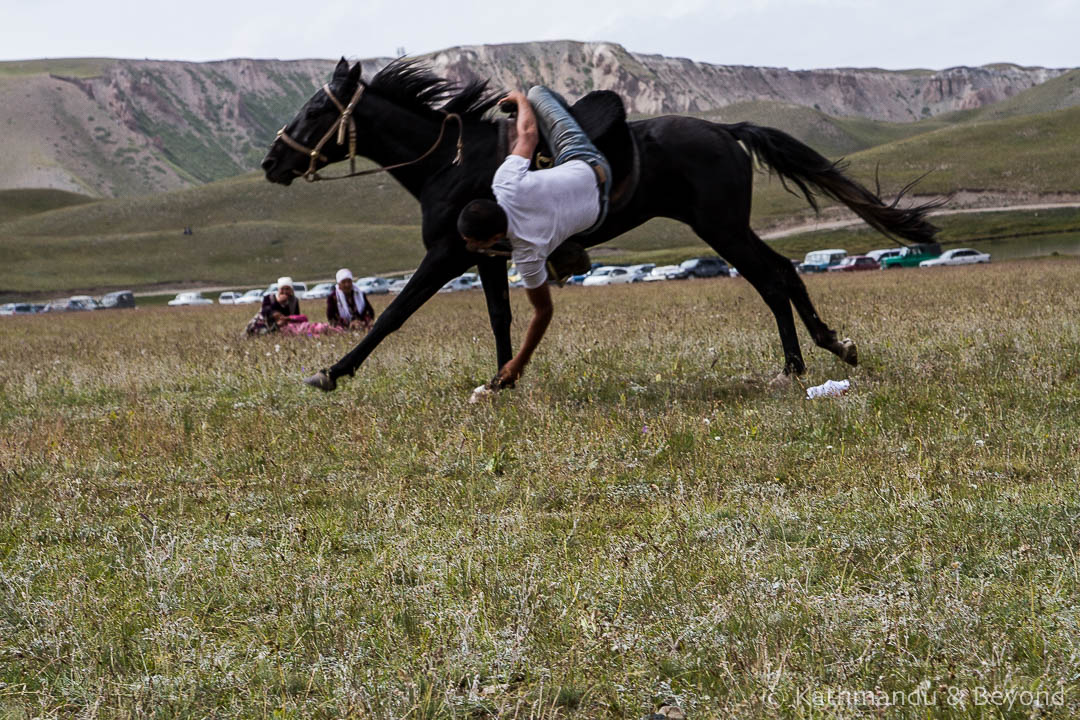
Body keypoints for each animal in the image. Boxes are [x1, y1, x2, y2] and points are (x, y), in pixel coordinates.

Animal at [259, 60, 937, 388]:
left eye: (317, 110)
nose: (270, 162)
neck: (450, 162)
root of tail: (726, 131)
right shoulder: (486, 256)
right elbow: (502, 319)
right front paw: (504, 379)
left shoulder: (448, 254)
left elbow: (394, 315)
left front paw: (331, 373)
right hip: (725, 227)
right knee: (780, 276)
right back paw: (820, 351)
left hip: (721, 227)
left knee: (773, 278)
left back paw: (805, 361)